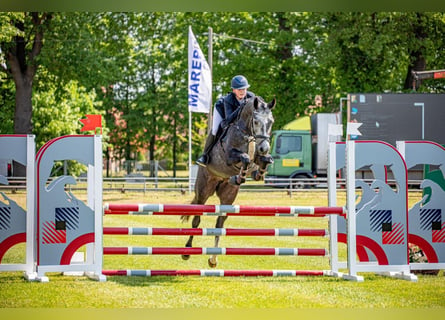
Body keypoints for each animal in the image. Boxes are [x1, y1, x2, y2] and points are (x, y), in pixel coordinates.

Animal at [180, 96, 274, 268]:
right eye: (256, 121)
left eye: (271, 121)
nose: (264, 148)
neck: (247, 134)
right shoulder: (229, 157)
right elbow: (244, 157)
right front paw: (240, 175)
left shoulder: (257, 158)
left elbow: (262, 161)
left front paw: (258, 172)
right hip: (203, 190)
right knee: (196, 220)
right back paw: (187, 251)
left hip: (228, 195)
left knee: (220, 223)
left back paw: (213, 259)